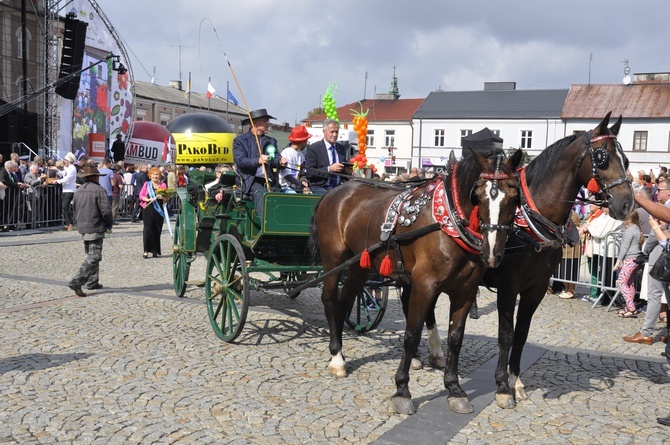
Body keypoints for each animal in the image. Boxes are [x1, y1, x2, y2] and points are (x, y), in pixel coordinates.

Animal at [310, 148, 524, 412]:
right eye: (478, 195)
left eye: (514, 197)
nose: (492, 253)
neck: (448, 222)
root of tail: (335, 191)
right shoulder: (424, 286)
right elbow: (411, 335)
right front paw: (402, 390)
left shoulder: (465, 290)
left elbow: (455, 339)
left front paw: (454, 389)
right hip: (333, 259)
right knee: (330, 301)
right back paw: (336, 358)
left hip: (359, 266)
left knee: (345, 302)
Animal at [422, 111, 636, 410]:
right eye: (602, 156)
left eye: (625, 159)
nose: (627, 204)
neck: (531, 223)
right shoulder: (508, 288)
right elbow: (506, 334)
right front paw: (502, 386)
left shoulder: (536, 288)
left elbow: (522, 333)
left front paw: (515, 381)